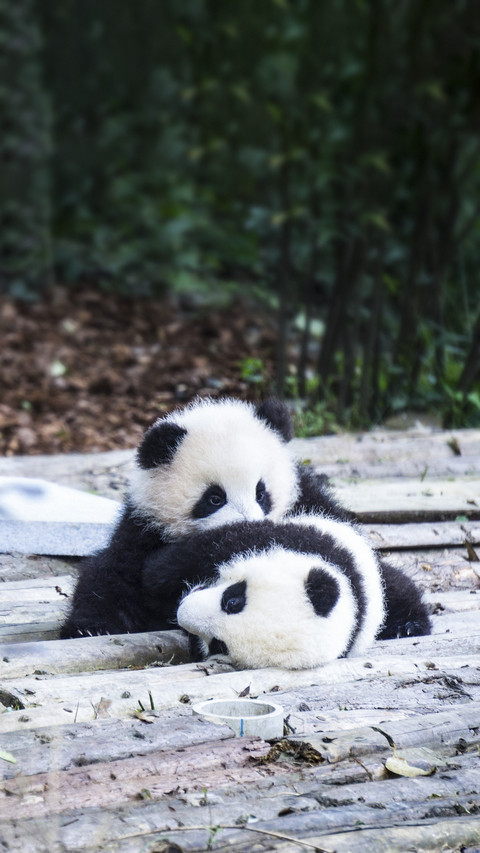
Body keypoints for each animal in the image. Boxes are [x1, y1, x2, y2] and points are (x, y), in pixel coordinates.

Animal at [60, 397, 348, 639]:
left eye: (261, 492)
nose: (244, 524)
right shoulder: (144, 527)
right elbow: (115, 576)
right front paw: (89, 627)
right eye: (214, 499)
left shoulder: (310, 501)